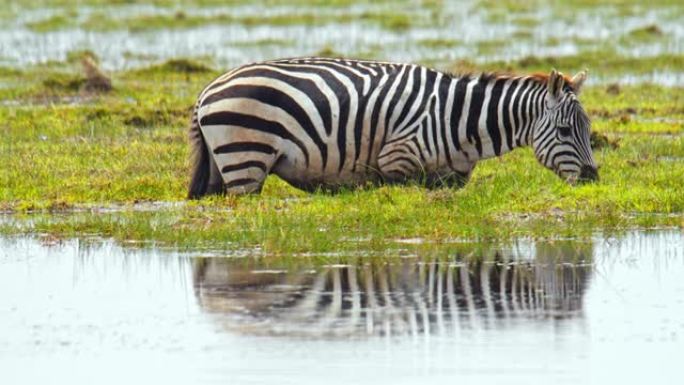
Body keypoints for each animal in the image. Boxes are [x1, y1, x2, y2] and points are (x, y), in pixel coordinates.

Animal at [188, 58, 600, 200]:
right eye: (565, 131)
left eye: (588, 129)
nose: (593, 179)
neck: (460, 121)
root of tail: (208, 89)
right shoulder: (397, 162)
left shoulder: (448, 179)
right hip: (246, 161)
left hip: (223, 169)